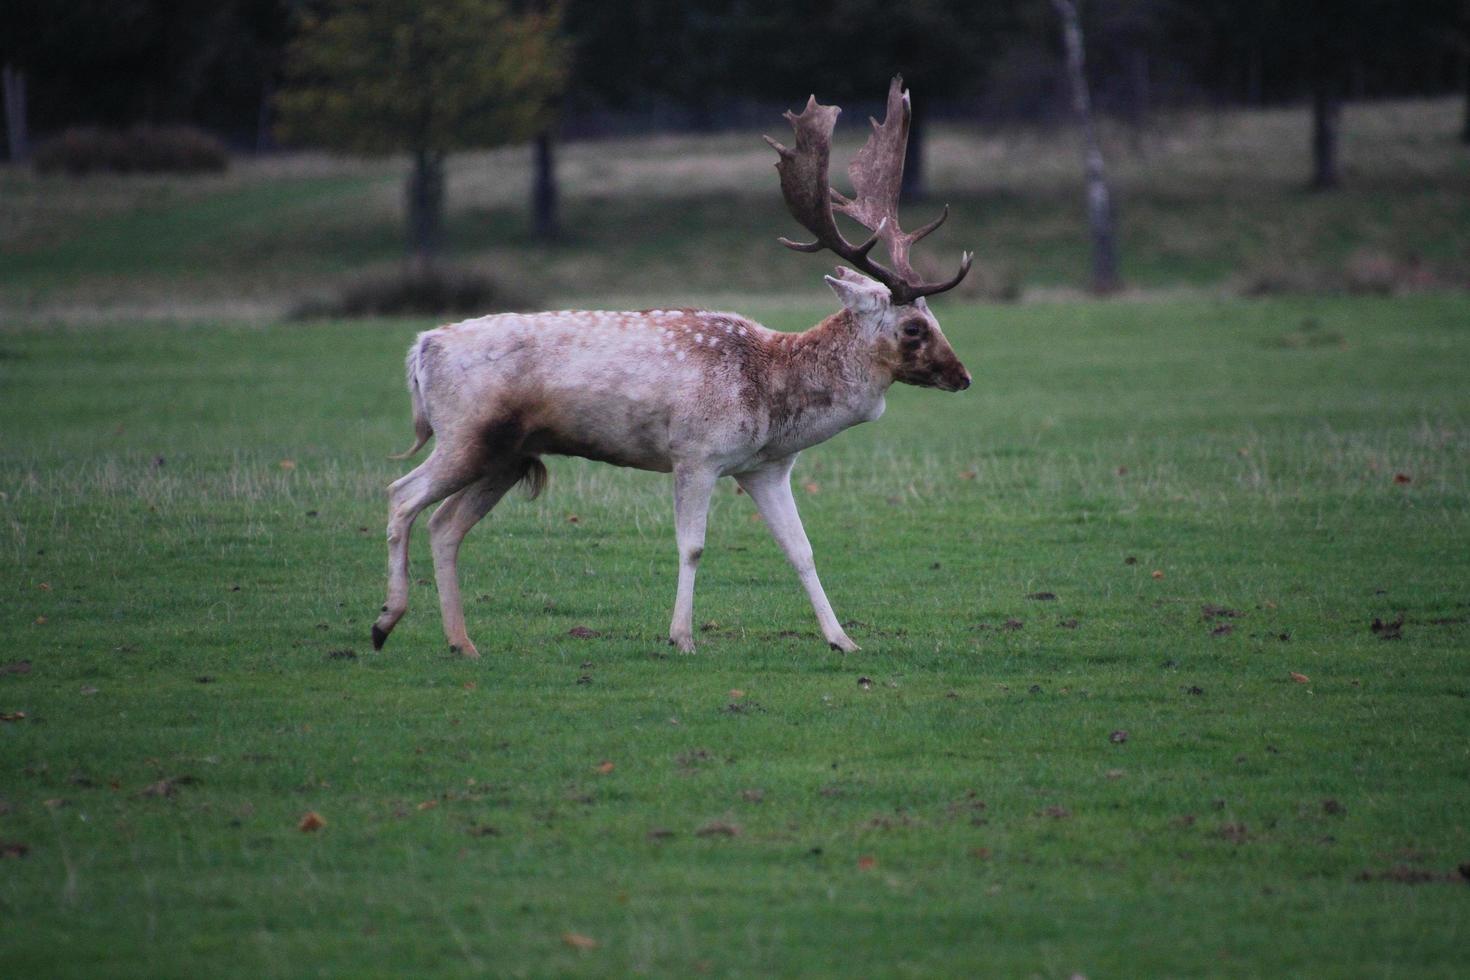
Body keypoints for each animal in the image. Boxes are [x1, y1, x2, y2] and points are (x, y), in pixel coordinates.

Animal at [367, 76, 970, 658]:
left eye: (935, 318)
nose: (963, 376)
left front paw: (842, 639)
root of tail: (421, 348)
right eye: (912, 328)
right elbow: (693, 545)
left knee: (444, 525)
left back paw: (462, 643)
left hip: (507, 456)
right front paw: (682, 636)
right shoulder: (696, 453)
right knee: (401, 495)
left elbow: (801, 550)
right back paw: (384, 622)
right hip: (466, 434)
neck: (773, 395)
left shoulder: (766, 467)